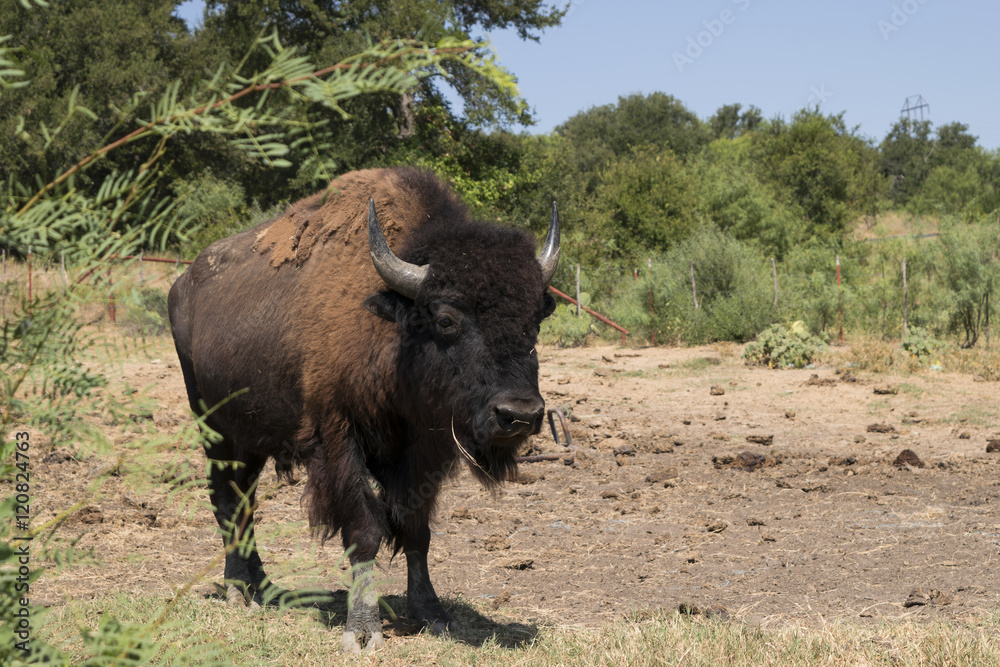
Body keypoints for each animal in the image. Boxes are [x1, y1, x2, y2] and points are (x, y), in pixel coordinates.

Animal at [168, 168, 560, 652]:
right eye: (447, 319)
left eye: (534, 321)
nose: (519, 413)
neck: (395, 334)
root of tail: (182, 285)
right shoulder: (338, 440)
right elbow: (364, 531)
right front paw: (363, 629)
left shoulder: (424, 452)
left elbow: (416, 531)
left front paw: (433, 615)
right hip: (214, 427)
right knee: (226, 499)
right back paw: (239, 591)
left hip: (252, 438)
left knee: (245, 501)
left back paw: (263, 587)